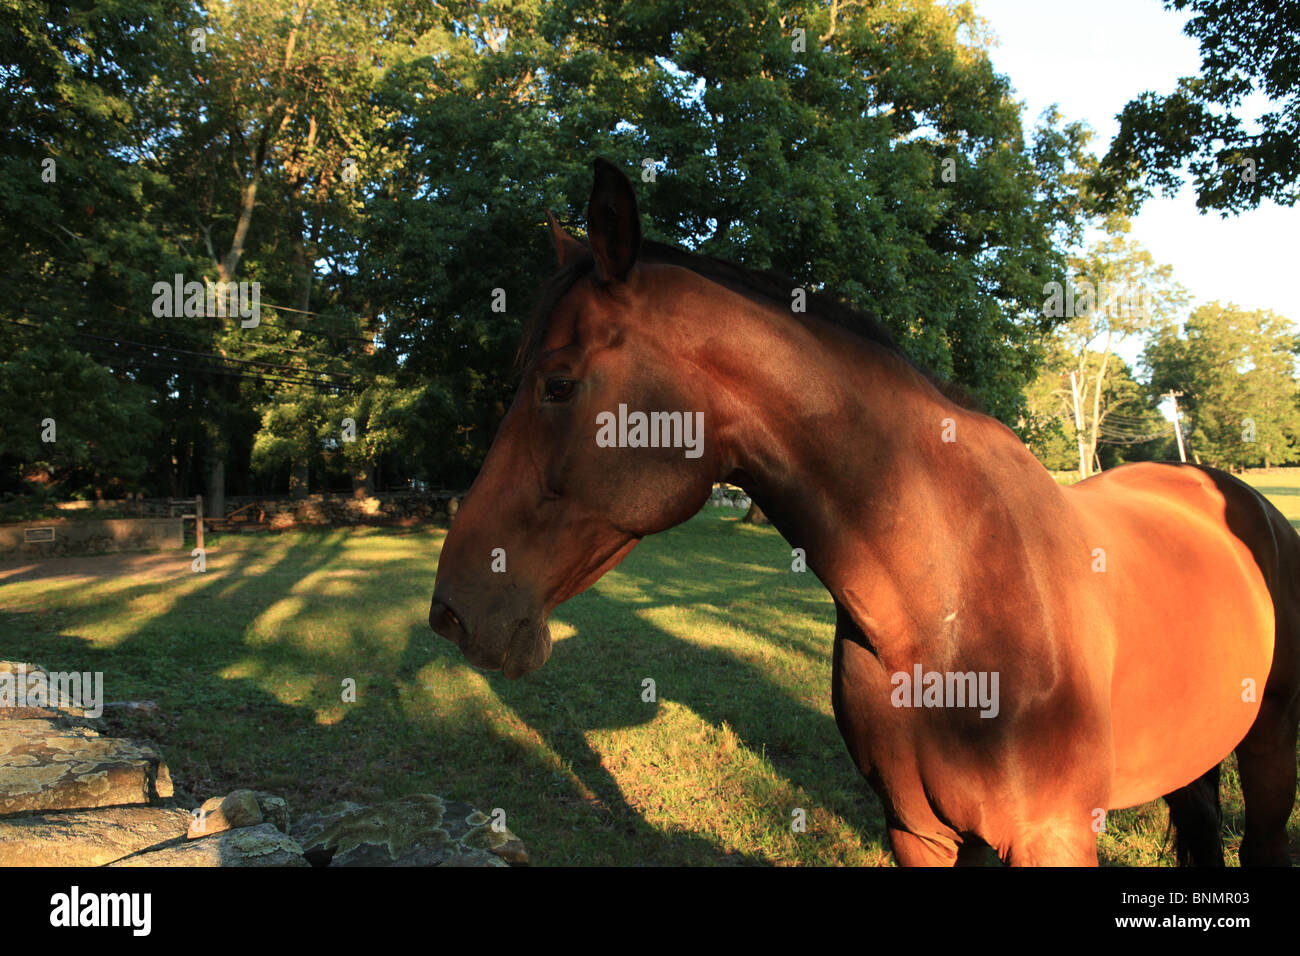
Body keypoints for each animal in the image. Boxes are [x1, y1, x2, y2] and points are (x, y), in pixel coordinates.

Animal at [428, 158, 1300, 868]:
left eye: (558, 384)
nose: (453, 614)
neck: (946, 597)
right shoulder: (919, 834)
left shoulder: (1051, 836)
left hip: (1269, 750)